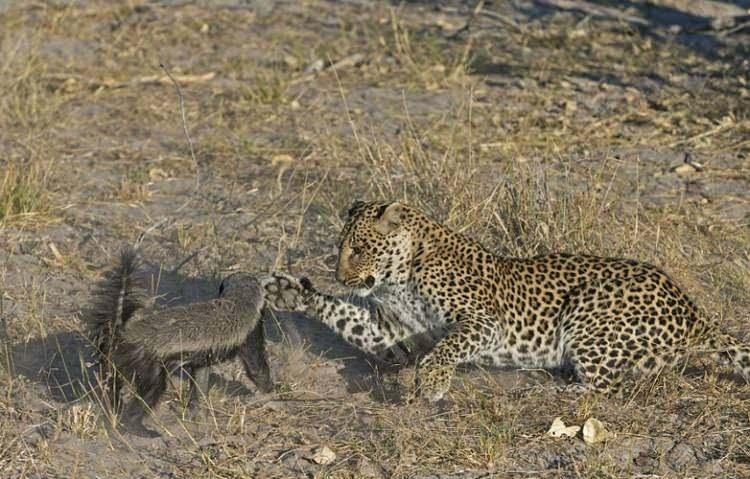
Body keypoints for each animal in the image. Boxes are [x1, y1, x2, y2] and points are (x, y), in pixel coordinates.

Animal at [262, 201, 750, 404]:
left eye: (359, 249)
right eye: (340, 249)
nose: (341, 276)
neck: (400, 273)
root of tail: (694, 311)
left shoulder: (482, 322)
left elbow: (447, 346)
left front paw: (433, 381)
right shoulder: (393, 338)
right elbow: (343, 314)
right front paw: (291, 292)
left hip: (589, 312)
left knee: (605, 387)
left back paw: (550, 388)